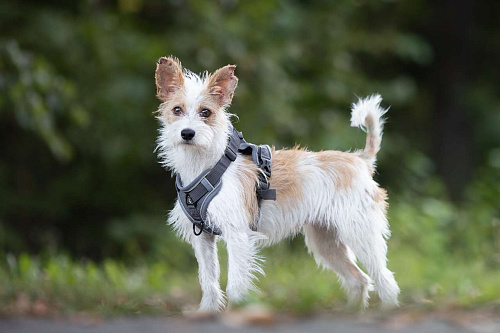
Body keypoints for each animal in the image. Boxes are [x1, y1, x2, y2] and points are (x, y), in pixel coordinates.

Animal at [154, 56, 400, 312]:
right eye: (177, 110)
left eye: (206, 112)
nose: (187, 133)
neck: (205, 166)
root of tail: (359, 159)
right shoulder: (203, 239)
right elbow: (209, 282)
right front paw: (207, 313)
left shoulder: (238, 236)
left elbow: (235, 285)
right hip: (327, 241)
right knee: (358, 280)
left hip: (360, 233)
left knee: (385, 279)